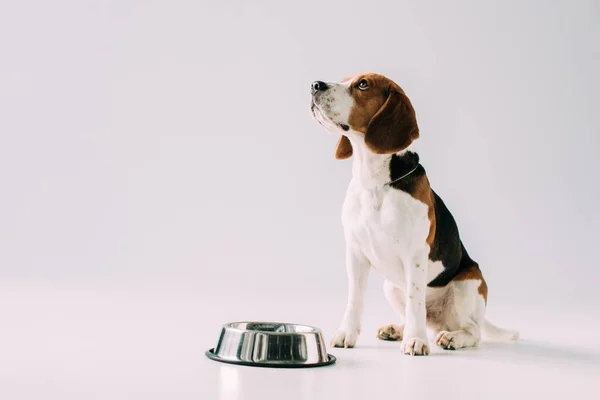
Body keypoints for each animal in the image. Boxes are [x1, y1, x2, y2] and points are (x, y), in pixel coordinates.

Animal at [310, 73, 516, 354]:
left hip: (467, 285)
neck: (375, 181)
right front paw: (347, 334)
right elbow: (355, 299)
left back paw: (452, 338)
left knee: (472, 331)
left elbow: (415, 299)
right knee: (415, 315)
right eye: (344, 79)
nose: (315, 85)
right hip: (391, 286)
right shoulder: (355, 252)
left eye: (363, 84)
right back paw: (398, 329)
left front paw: (416, 340)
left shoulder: (415, 254)